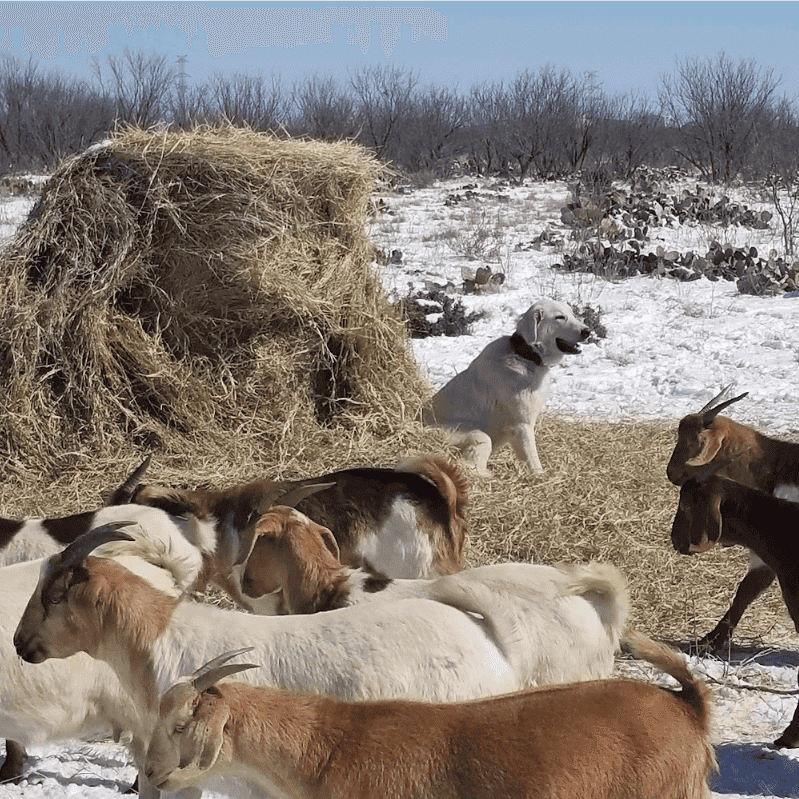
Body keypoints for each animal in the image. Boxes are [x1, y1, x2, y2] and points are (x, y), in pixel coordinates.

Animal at [424, 300, 588, 476]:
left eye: (573, 314)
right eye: (560, 317)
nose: (588, 331)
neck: (526, 356)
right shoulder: (522, 425)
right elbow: (533, 460)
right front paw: (541, 477)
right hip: (473, 434)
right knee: (471, 458)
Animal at [664, 384, 799, 652]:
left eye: (694, 441)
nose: (670, 472)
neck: (775, 471)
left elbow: (749, 588)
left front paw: (711, 641)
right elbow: (746, 590)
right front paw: (710, 639)